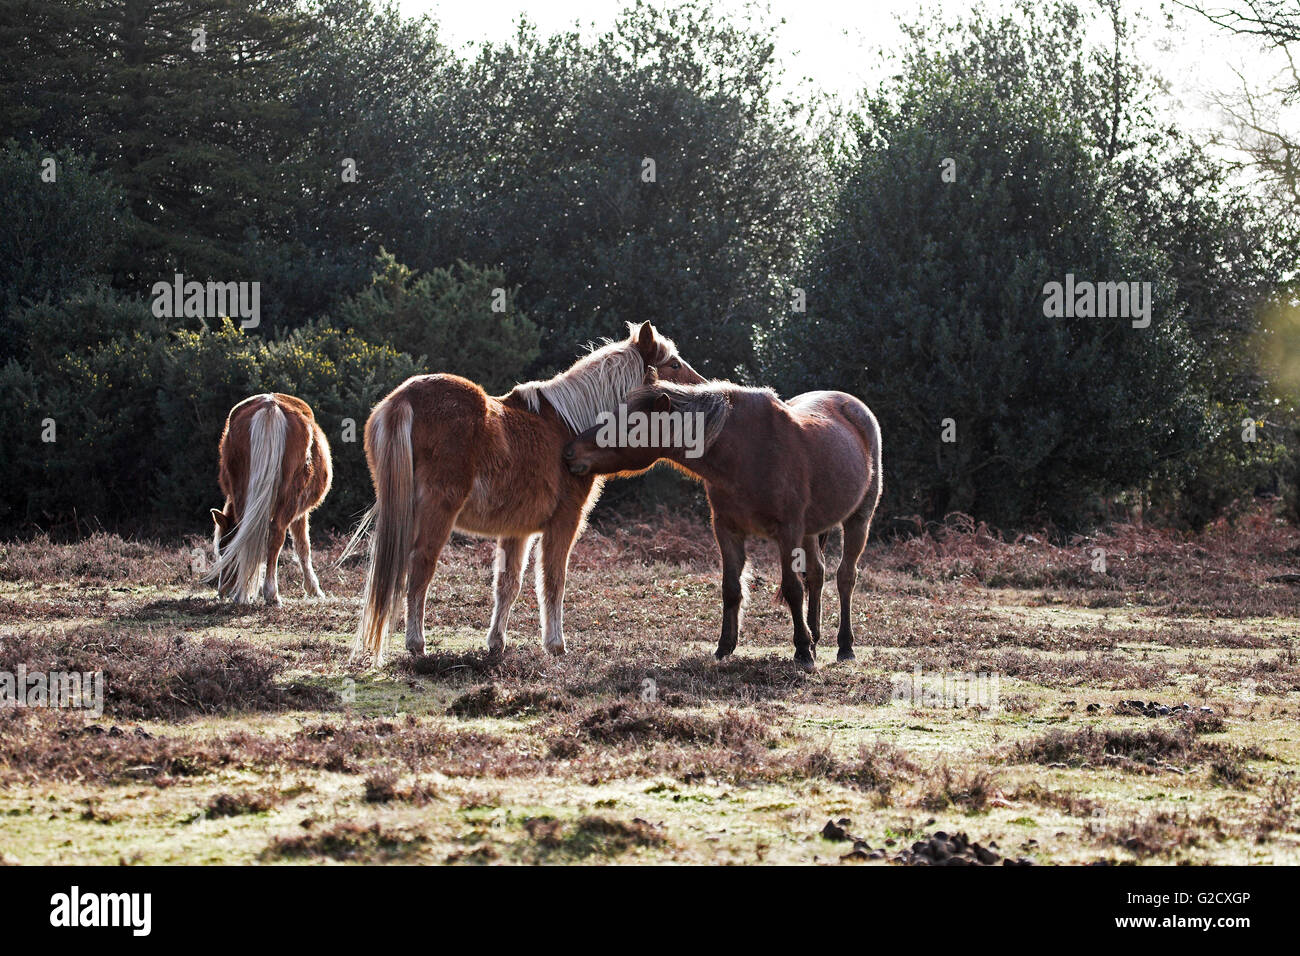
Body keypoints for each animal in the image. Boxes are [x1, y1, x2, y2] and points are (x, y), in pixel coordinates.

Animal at [205, 390, 332, 600]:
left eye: (223, 547)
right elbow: (303, 546)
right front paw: (314, 588)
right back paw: (271, 593)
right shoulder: (301, 511)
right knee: (276, 533)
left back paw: (242, 594)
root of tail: (270, 406)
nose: (222, 590)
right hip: (291, 498)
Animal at [353, 321, 702, 665]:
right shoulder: (563, 523)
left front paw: (496, 644)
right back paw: (416, 643)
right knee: (421, 567)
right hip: (437, 512)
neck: (568, 426)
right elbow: (553, 580)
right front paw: (555, 644)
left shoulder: (516, 530)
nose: (703, 390)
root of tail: (405, 398)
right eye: (673, 364)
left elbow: (508, 584)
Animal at [566, 374, 883, 671]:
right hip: (811, 530)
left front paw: (802, 652)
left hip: (858, 520)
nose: (571, 451)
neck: (747, 453)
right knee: (816, 574)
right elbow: (731, 588)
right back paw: (815, 637)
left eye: (630, 425)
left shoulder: (788, 532)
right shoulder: (727, 530)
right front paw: (724, 648)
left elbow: (792, 588)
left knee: (845, 577)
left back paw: (844, 647)